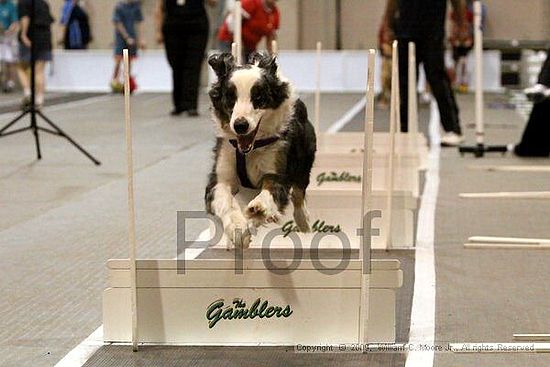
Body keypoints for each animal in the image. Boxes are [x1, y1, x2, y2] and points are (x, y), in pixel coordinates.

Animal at [206, 52, 320, 250]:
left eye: (258, 98)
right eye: (230, 97)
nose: (240, 125)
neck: (249, 150)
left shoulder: (278, 169)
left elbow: (272, 188)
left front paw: (259, 208)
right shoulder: (220, 175)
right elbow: (225, 199)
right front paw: (237, 227)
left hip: (304, 159)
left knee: (299, 192)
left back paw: (302, 220)